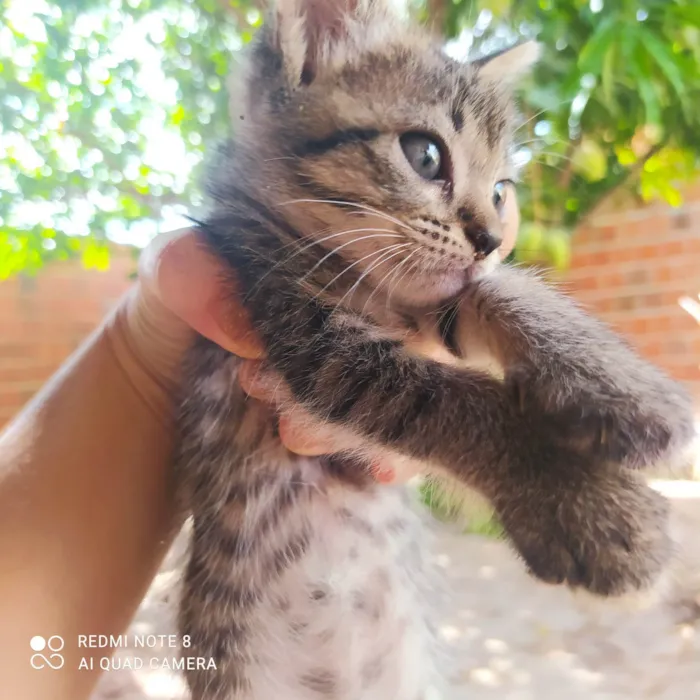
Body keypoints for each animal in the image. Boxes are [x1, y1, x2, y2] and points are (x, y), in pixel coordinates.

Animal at [176, 1, 696, 700]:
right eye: (424, 156)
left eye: (501, 191)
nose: (492, 239)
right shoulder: (302, 331)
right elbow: (446, 398)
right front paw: (587, 505)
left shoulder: (432, 301)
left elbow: (492, 293)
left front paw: (624, 387)